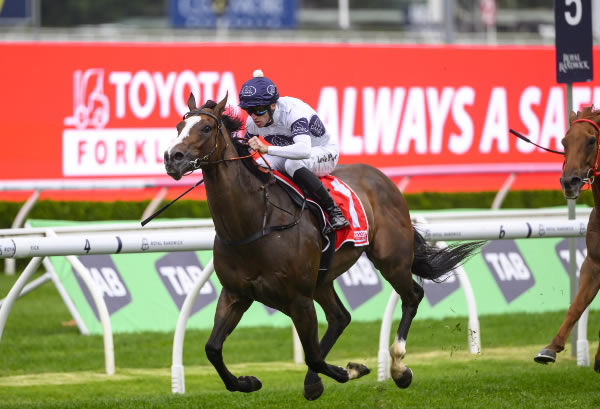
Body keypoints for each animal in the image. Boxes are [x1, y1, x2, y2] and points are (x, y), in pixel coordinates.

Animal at [164, 93, 482, 398]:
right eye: (180, 127)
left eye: (206, 128)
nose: (172, 158)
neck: (254, 222)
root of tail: (382, 179)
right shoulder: (236, 294)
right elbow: (213, 349)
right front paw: (248, 382)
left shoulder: (298, 298)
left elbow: (314, 356)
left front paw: (350, 370)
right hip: (322, 279)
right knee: (340, 317)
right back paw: (316, 380)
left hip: (391, 259)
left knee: (412, 296)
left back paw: (399, 368)